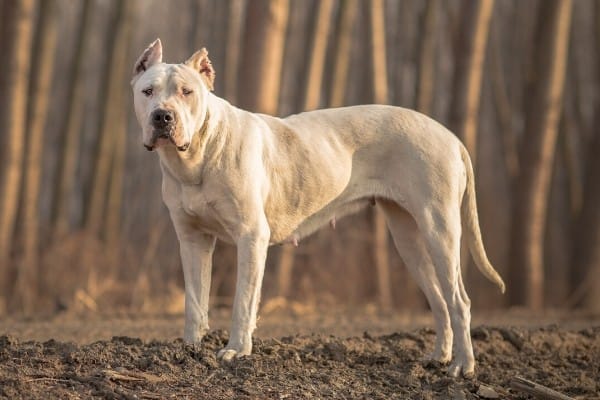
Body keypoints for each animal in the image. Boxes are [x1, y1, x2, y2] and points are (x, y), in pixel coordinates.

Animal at [132, 39, 506, 378]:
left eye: (187, 92)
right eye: (148, 91)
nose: (162, 116)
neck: (196, 157)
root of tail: (451, 137)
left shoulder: (251, 237)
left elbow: (243, 301)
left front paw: (236, 351)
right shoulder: (192, 239)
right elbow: (194, 301)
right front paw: (189, 350)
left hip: (439, 229)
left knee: (459, 301)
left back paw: (463, 366)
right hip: (409, 238)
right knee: (440, 300)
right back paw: (439, 357)